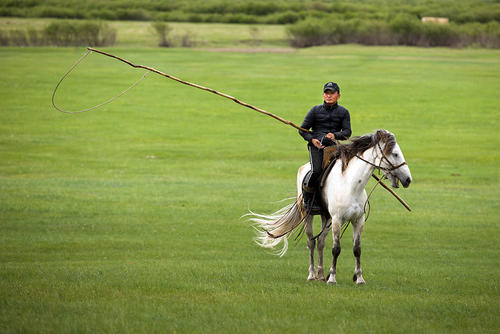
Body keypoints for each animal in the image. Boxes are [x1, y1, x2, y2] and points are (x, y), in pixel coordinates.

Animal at [249, 130, 410, 284]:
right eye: (395, 154)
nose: (408, 179)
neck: (351, 185)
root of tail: (304, 167)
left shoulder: (358, 220)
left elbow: (357, 249)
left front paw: (359, 278)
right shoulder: (338, 220)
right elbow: (336, 249)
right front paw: (332, 277)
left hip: (326, 218)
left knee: (320, 242)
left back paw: (321, 275)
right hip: (308, 215)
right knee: (311, 242)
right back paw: (312, 275)